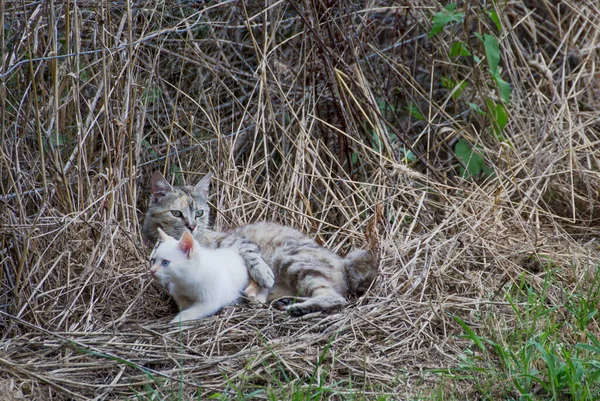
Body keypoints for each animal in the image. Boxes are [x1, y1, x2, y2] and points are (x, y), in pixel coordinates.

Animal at [141, 171, 378, 316]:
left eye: (199, 213)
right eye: (176, 213)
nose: (191, 226)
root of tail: (343, 263)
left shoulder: (237, 242)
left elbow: (250, 254)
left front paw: (262, 275)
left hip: (290, 259)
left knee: (335, 298)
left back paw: (298, 307)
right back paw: (288, 303)